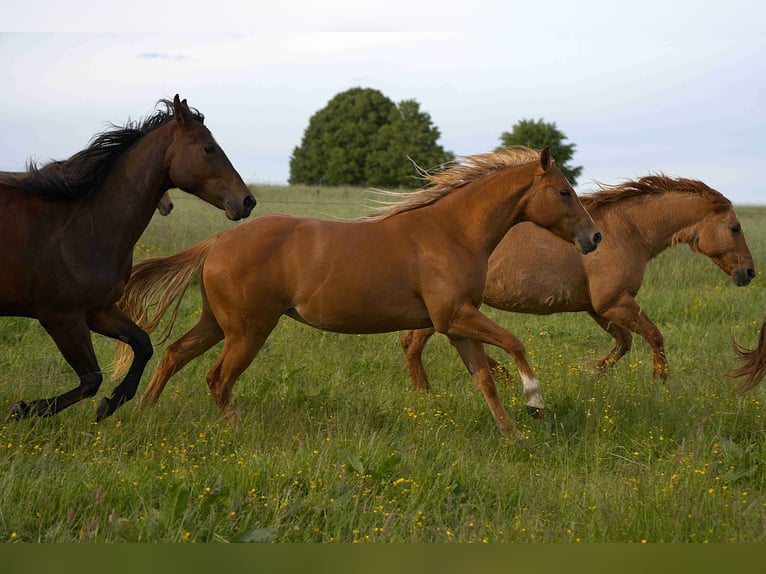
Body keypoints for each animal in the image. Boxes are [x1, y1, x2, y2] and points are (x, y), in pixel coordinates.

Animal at [1, 95, 256, 421]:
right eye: (208, 147)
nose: (247, 201)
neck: (82, 224)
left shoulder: (98, 311)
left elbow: (143, 345)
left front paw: (112, 402)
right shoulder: (61, 317)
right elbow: (91, 379)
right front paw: (21, 409)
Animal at [116, 147, 601, 437]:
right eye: (564, 191)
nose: (594, 237)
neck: (453, 233)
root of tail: (217, 241)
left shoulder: (455, 324)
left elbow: (484, 378)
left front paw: (512, 433)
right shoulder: (454, 317)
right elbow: (515, 344)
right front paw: (535, 404)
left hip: (217, 324)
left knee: (175, 354)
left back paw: (143, 412)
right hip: (248, 332)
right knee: (217, 379)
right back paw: (235, 429)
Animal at [400, 175, 756, 396]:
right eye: (735, 228)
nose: (750, 273)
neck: (628, 231)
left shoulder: (598, 308)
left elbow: (624, 343)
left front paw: (591, 371)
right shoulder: (614, 302)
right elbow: (654, 335)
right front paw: (659, 381)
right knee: (413, 344)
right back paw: (428, 394)